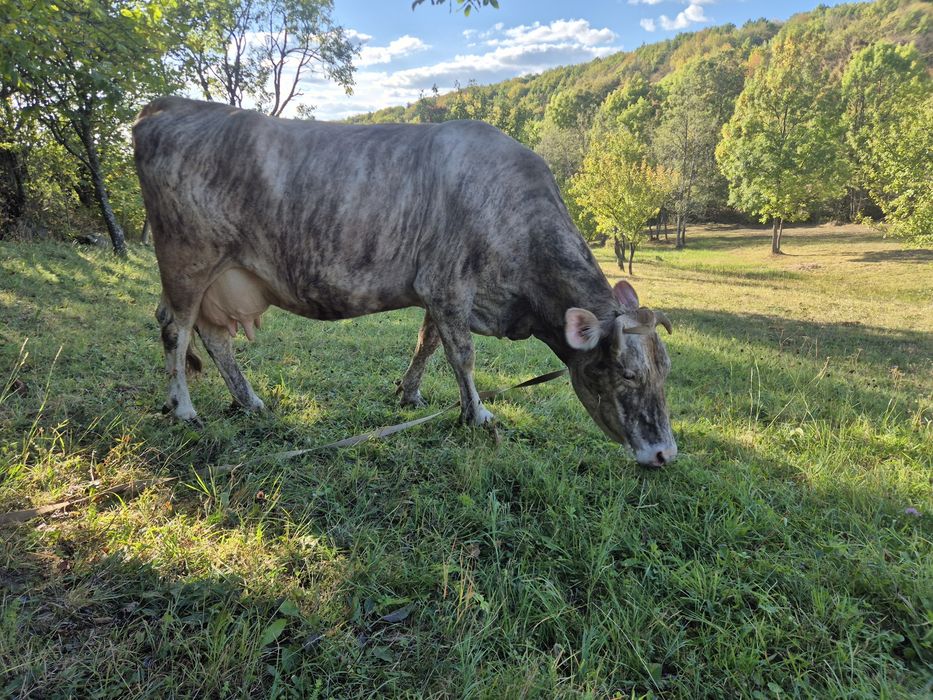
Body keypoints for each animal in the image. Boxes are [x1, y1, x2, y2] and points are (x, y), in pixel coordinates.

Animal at [133, 97, 678, 467]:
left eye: (665, 371)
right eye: (627, 373)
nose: (666, 453)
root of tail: (171, 105)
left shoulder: (440, 291)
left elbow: (428, 344)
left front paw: (409, 395)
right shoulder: (448, 284)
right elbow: (462, 355)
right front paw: (478, 415)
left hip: (217, 277)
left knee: (213, 336)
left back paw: (249, 401)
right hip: (187, 258)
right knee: (175, 329)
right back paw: (183, 408)